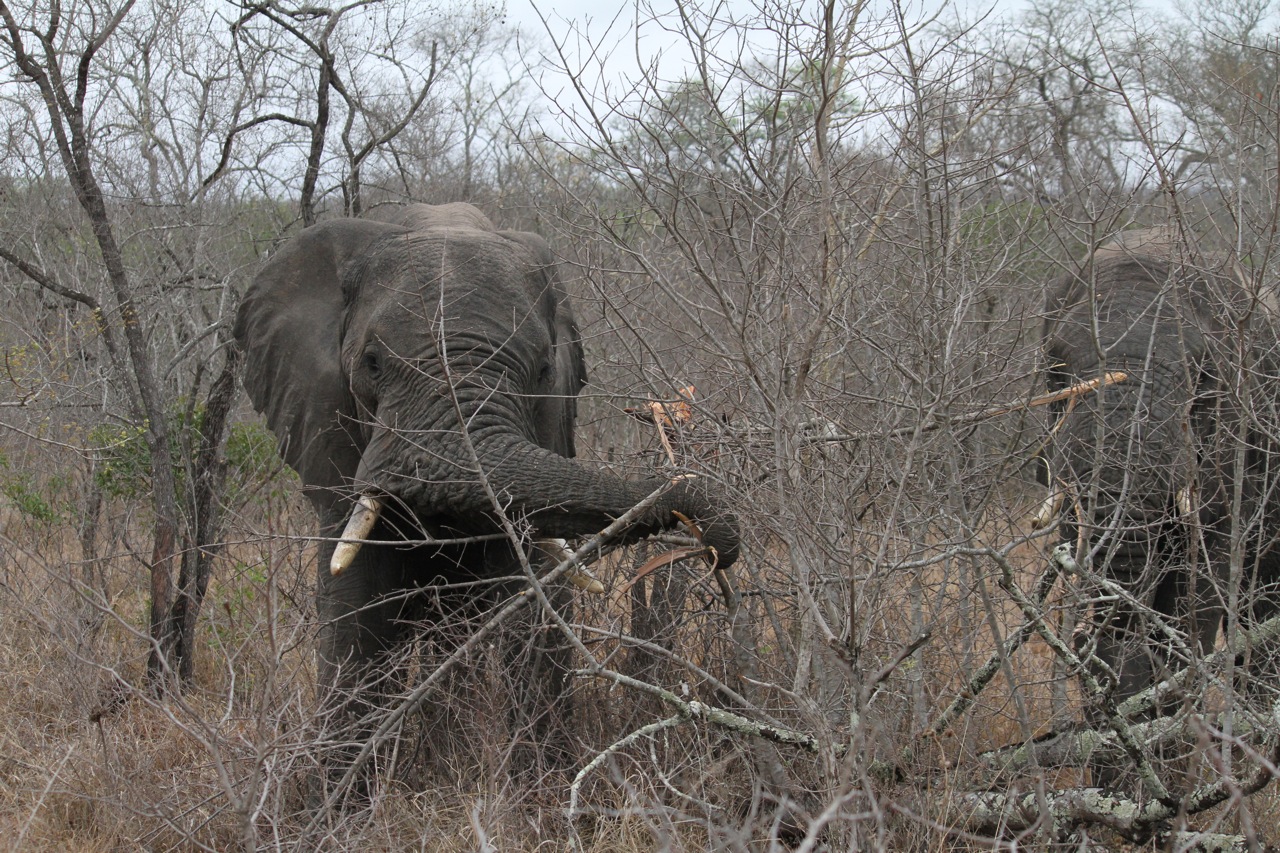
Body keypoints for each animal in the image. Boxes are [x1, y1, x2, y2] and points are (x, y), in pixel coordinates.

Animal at [232, 201, 742, 778]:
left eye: (542, 369)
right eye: (372, 363)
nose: (716, 546)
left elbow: (536, 606)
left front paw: (539, 789)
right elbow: (356, 614)